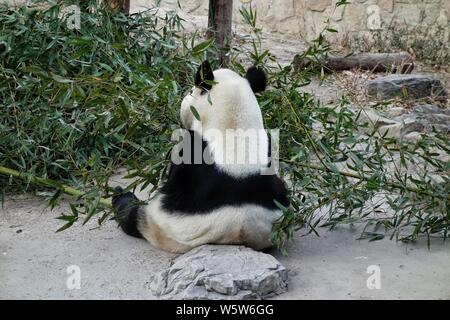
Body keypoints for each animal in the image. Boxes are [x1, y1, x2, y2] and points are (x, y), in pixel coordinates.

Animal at [112, 61, 288, 254]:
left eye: (190, 92)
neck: (235, 128)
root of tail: (236, 238)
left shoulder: (189, 153)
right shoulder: (270, 150)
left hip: (159, 225)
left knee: (132, 215)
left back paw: (119, 196)